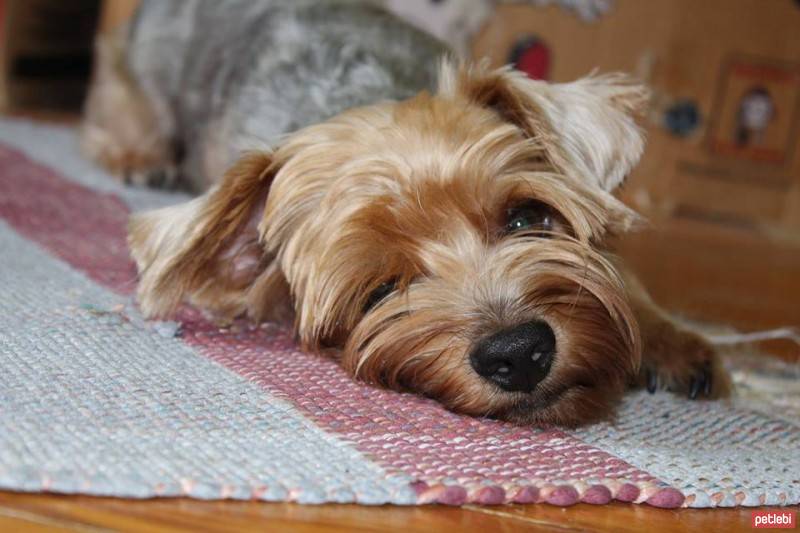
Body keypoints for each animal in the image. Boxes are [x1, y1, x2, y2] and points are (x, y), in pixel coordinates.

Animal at [83, 0, 732, 424]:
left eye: (527, 218)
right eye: (379, 291)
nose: (518, 352)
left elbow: (619, 272)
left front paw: (671, 341)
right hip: (141, 67)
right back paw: (137, 156)